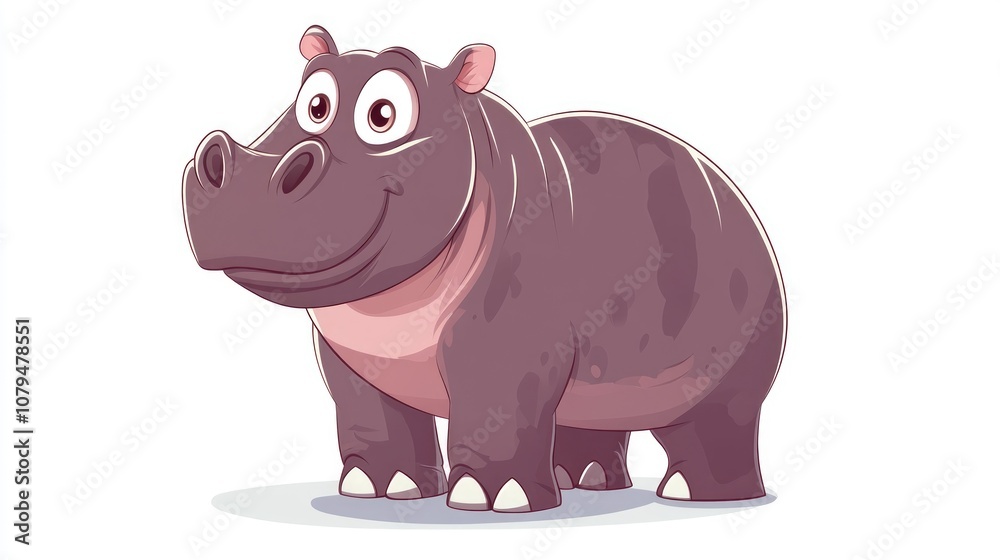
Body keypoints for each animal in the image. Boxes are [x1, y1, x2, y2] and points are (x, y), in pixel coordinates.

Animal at [182, 26, 785, 513]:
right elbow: (373, 417)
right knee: (586, 417)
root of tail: (734, 192)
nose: (244, 176)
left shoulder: (507, 342)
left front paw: (492, 501)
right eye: (314, 104)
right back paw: (582, 480)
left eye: (384, 115)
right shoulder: (350, 361)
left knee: (720, 422)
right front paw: (379, 489)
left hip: (736, 368)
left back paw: (699, 496)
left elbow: (497, 410)